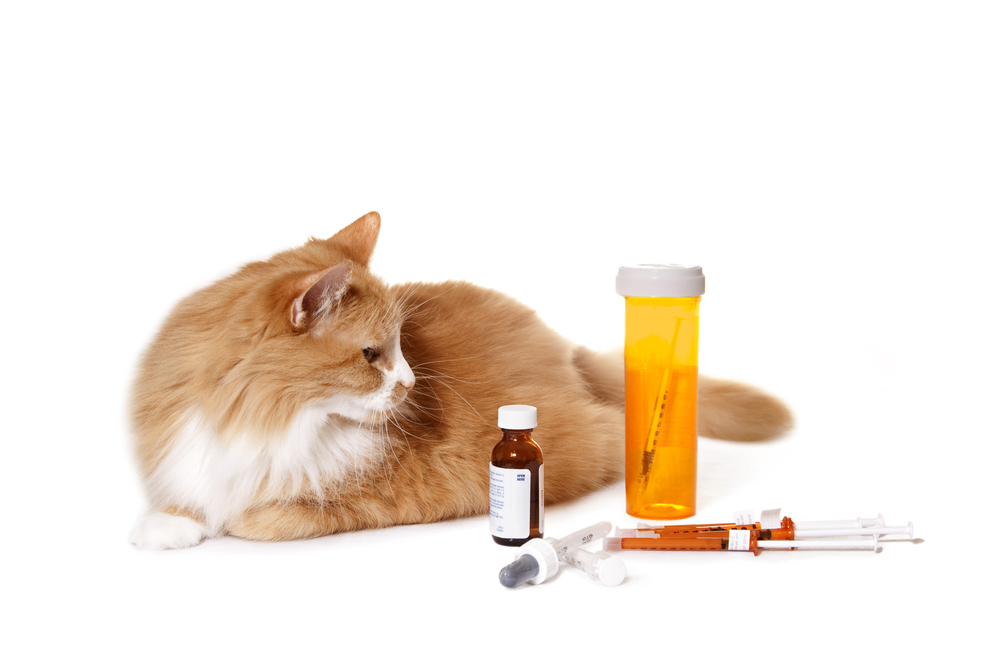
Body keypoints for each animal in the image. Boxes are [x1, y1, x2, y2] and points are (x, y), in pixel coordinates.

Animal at [129, 211, 792, 548]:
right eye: (371, 354)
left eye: (401, 346)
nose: (410, 382)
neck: (267, 417)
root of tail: (564, 347)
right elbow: (192, 498)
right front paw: (167, 525)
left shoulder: (408, 487)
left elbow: (275, 515)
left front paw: (236, 520)